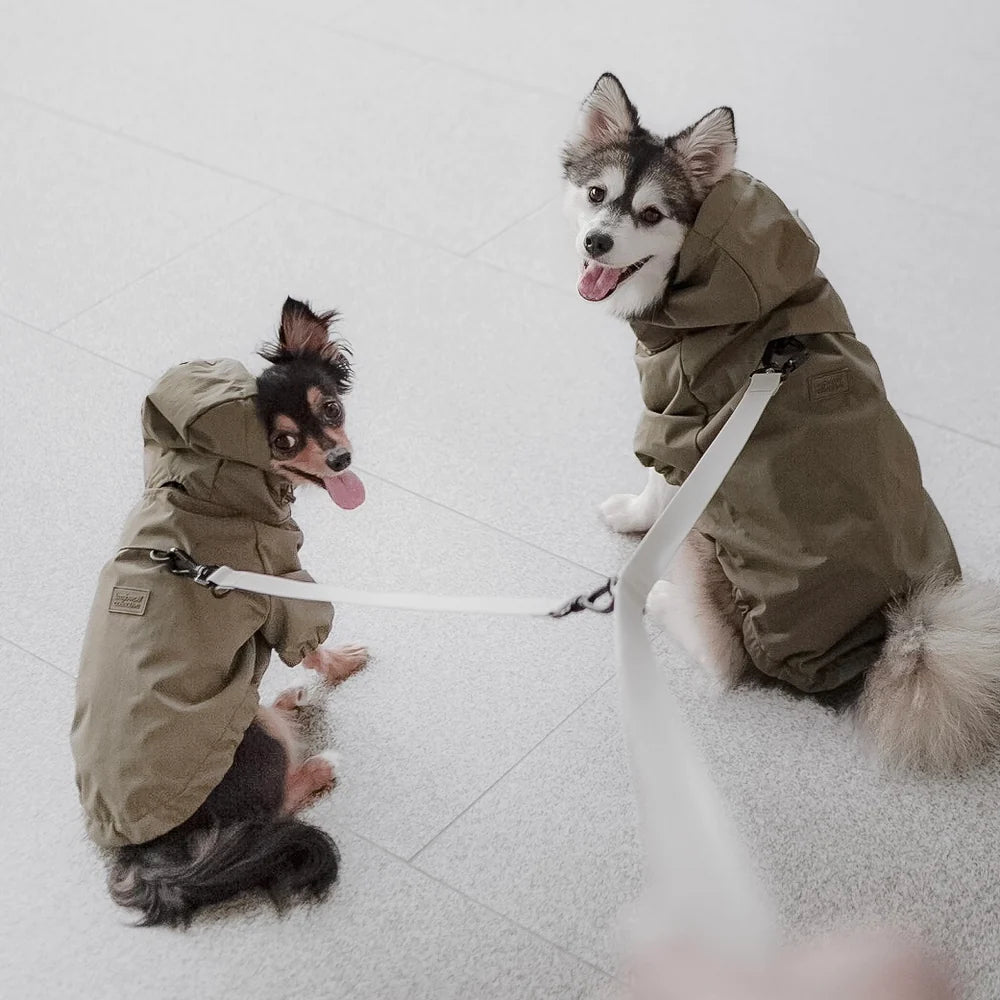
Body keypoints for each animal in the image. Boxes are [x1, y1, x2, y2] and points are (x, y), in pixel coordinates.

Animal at [70, 298, 370, 928]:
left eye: (331, 407)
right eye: (283, 443)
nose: (342, 457)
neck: (215, 485)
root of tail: (147, 853)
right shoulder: (284, 590)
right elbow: (313, 644)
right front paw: (342, 663)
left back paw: (286, 699)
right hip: (251, 744)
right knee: (267, 812)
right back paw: (319, 764)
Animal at [564, 72, 1000, 772]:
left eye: (652, 215)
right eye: (597, 194)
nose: (595, 243)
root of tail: (875, 645)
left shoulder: (675, 419)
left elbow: (657, 485)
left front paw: (632, 519)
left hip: (711, 547)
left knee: (725, 657)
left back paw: (656, 599)